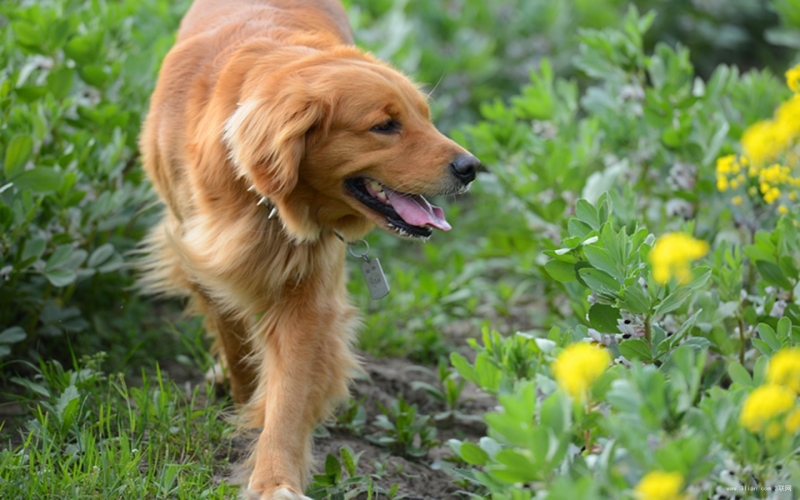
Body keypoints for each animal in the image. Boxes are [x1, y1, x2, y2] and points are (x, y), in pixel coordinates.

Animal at [138, 0, 478, 496]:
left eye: (426, 118)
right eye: (384, 126)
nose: (472, 167)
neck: (264, 198)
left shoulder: (309, 294)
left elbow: (290, 393)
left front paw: (274, 476)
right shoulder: (201, 255)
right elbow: (235, 342)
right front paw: (244, 401)